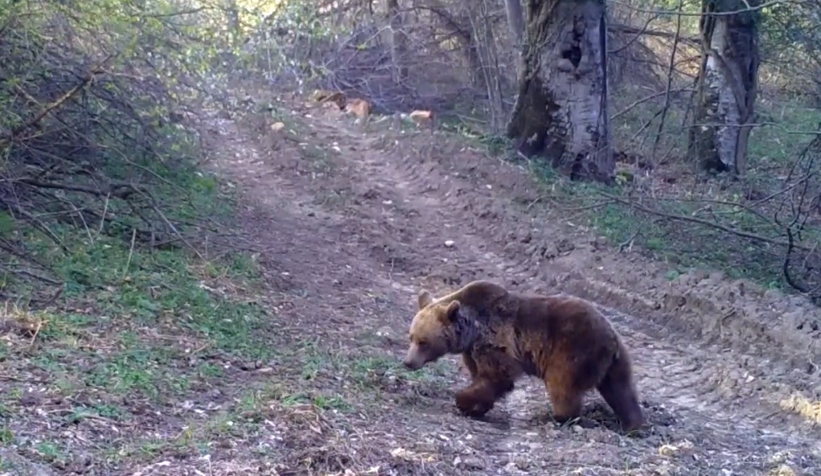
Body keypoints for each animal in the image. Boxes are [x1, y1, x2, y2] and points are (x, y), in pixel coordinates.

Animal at [404, 278, 648, 432]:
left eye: (423, 341)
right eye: (411, 337)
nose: (408, 362)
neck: (471, 330)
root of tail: (612, 337)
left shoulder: (495, 340)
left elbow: (497, 375)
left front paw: (464, 401)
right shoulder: (473, 350)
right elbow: (482, 376)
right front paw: (476, 405)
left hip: (573, 350)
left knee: (563, 385)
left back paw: (556, 416)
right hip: (616, 362)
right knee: (621, 389)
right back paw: (631, 423)